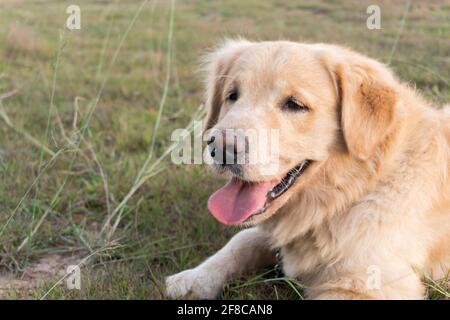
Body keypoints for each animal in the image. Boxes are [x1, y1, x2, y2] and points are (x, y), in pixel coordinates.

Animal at [165, 40, 450, 300]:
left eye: (294, 104)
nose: (221, 147)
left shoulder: (369, 284)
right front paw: (193, 279)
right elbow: (242, 240)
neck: (348, 196)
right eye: (232, 96)